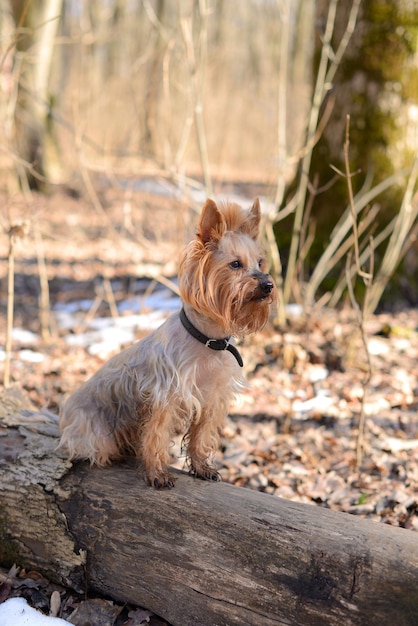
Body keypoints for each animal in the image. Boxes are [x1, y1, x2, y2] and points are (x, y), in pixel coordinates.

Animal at [58, 199, 274, 488]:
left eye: (259, 263)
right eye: (236, 264)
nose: (268, 284)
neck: (208, 340)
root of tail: (65, 412)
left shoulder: (212, 399)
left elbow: (201, 436)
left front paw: (202, 467)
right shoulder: (165, 398)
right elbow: (156, 437)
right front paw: (157, 474)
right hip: (95, 432)